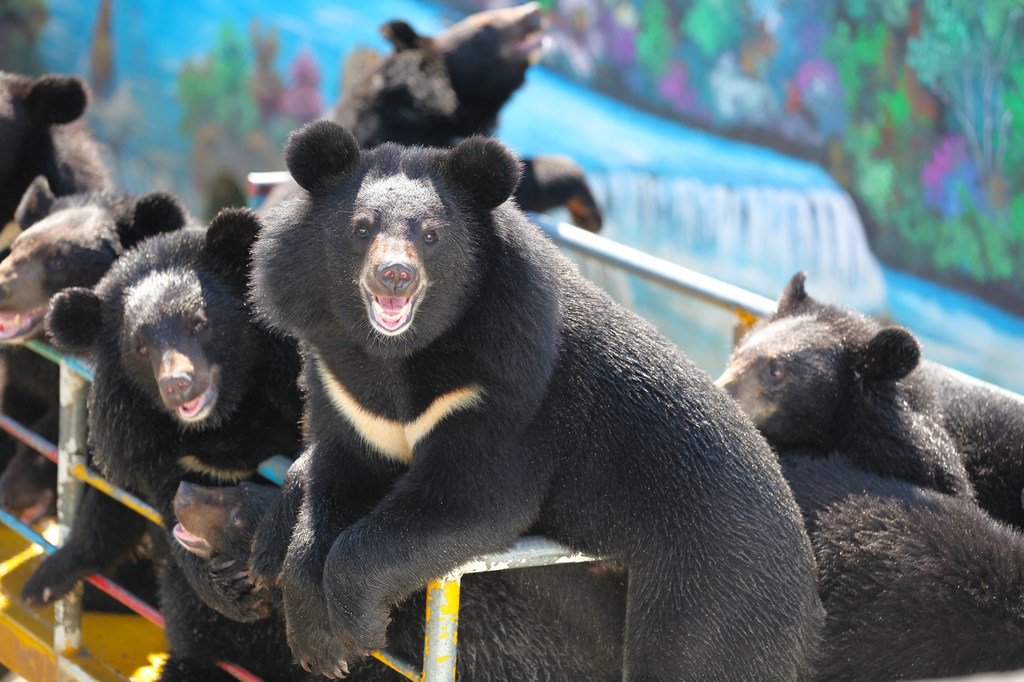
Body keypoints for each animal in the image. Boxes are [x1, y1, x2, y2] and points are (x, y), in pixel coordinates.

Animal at [32, 208, 306, 681]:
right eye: (140, 347)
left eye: (200, 322)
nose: (178, 385)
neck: (224, 425)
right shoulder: (144, 446)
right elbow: (131, 506)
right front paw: (47, 579)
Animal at [247, 120, 823, 680]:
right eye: (361, 227)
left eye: (431, 235)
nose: (394, 275)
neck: (399, 353)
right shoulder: (343, 386)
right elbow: (336, 475)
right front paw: (316, 635)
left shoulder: (507, 394)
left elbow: (473, 498)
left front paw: (358, 632)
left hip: (714, 588)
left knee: (696, 657)